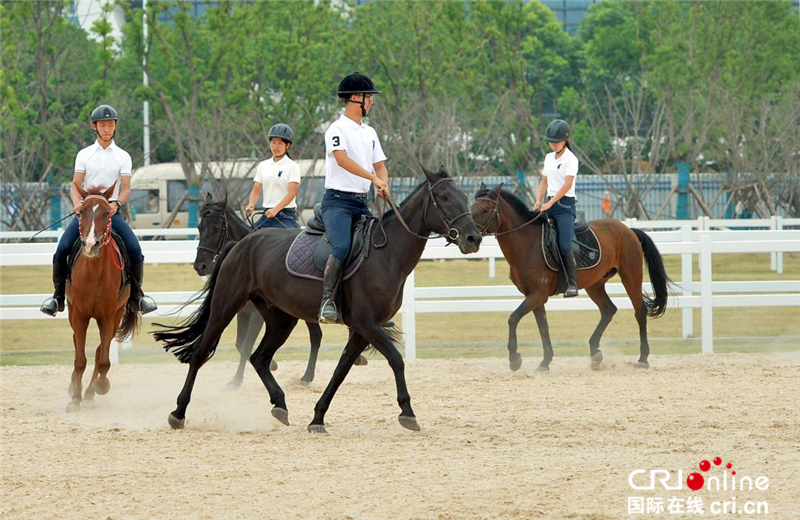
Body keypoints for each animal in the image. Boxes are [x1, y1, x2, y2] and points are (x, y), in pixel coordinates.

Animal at [67, 186, 141, 410]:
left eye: (107, 213)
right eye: (81, 212)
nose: (91, 244)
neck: (94, 274)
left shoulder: (108, 317)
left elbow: (103, 360)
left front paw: (100, 386)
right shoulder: (80, 315)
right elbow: (80, 359)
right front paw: (75, 399)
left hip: (116, 316)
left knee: (101, 350)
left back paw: (90, 393)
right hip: (72, 312)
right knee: (77, 343)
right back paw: (74, 387)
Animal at [194, 193, 368, 388]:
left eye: (216, 228)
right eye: (199, 227)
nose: (200, 266)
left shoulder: (256, 315)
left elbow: (246, 345)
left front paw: (259, 370)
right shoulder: (243, 313)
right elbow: (240, 344)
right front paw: (239, 378)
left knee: (319, 335)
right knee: (317, 335)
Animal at [468, 185, 668, 372]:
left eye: (485, 209)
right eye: (471, 207)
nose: (471, 237)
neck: (527, 243)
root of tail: (628, 230)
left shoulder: (537, 295)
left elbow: (513, 318)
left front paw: (514, 359)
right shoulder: (534, 296)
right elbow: (543, 327)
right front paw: (545, 362)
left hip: (631, 277)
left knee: (639, 311)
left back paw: (642, 359)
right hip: (595, 285)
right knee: (608, 310)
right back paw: (595, 353)